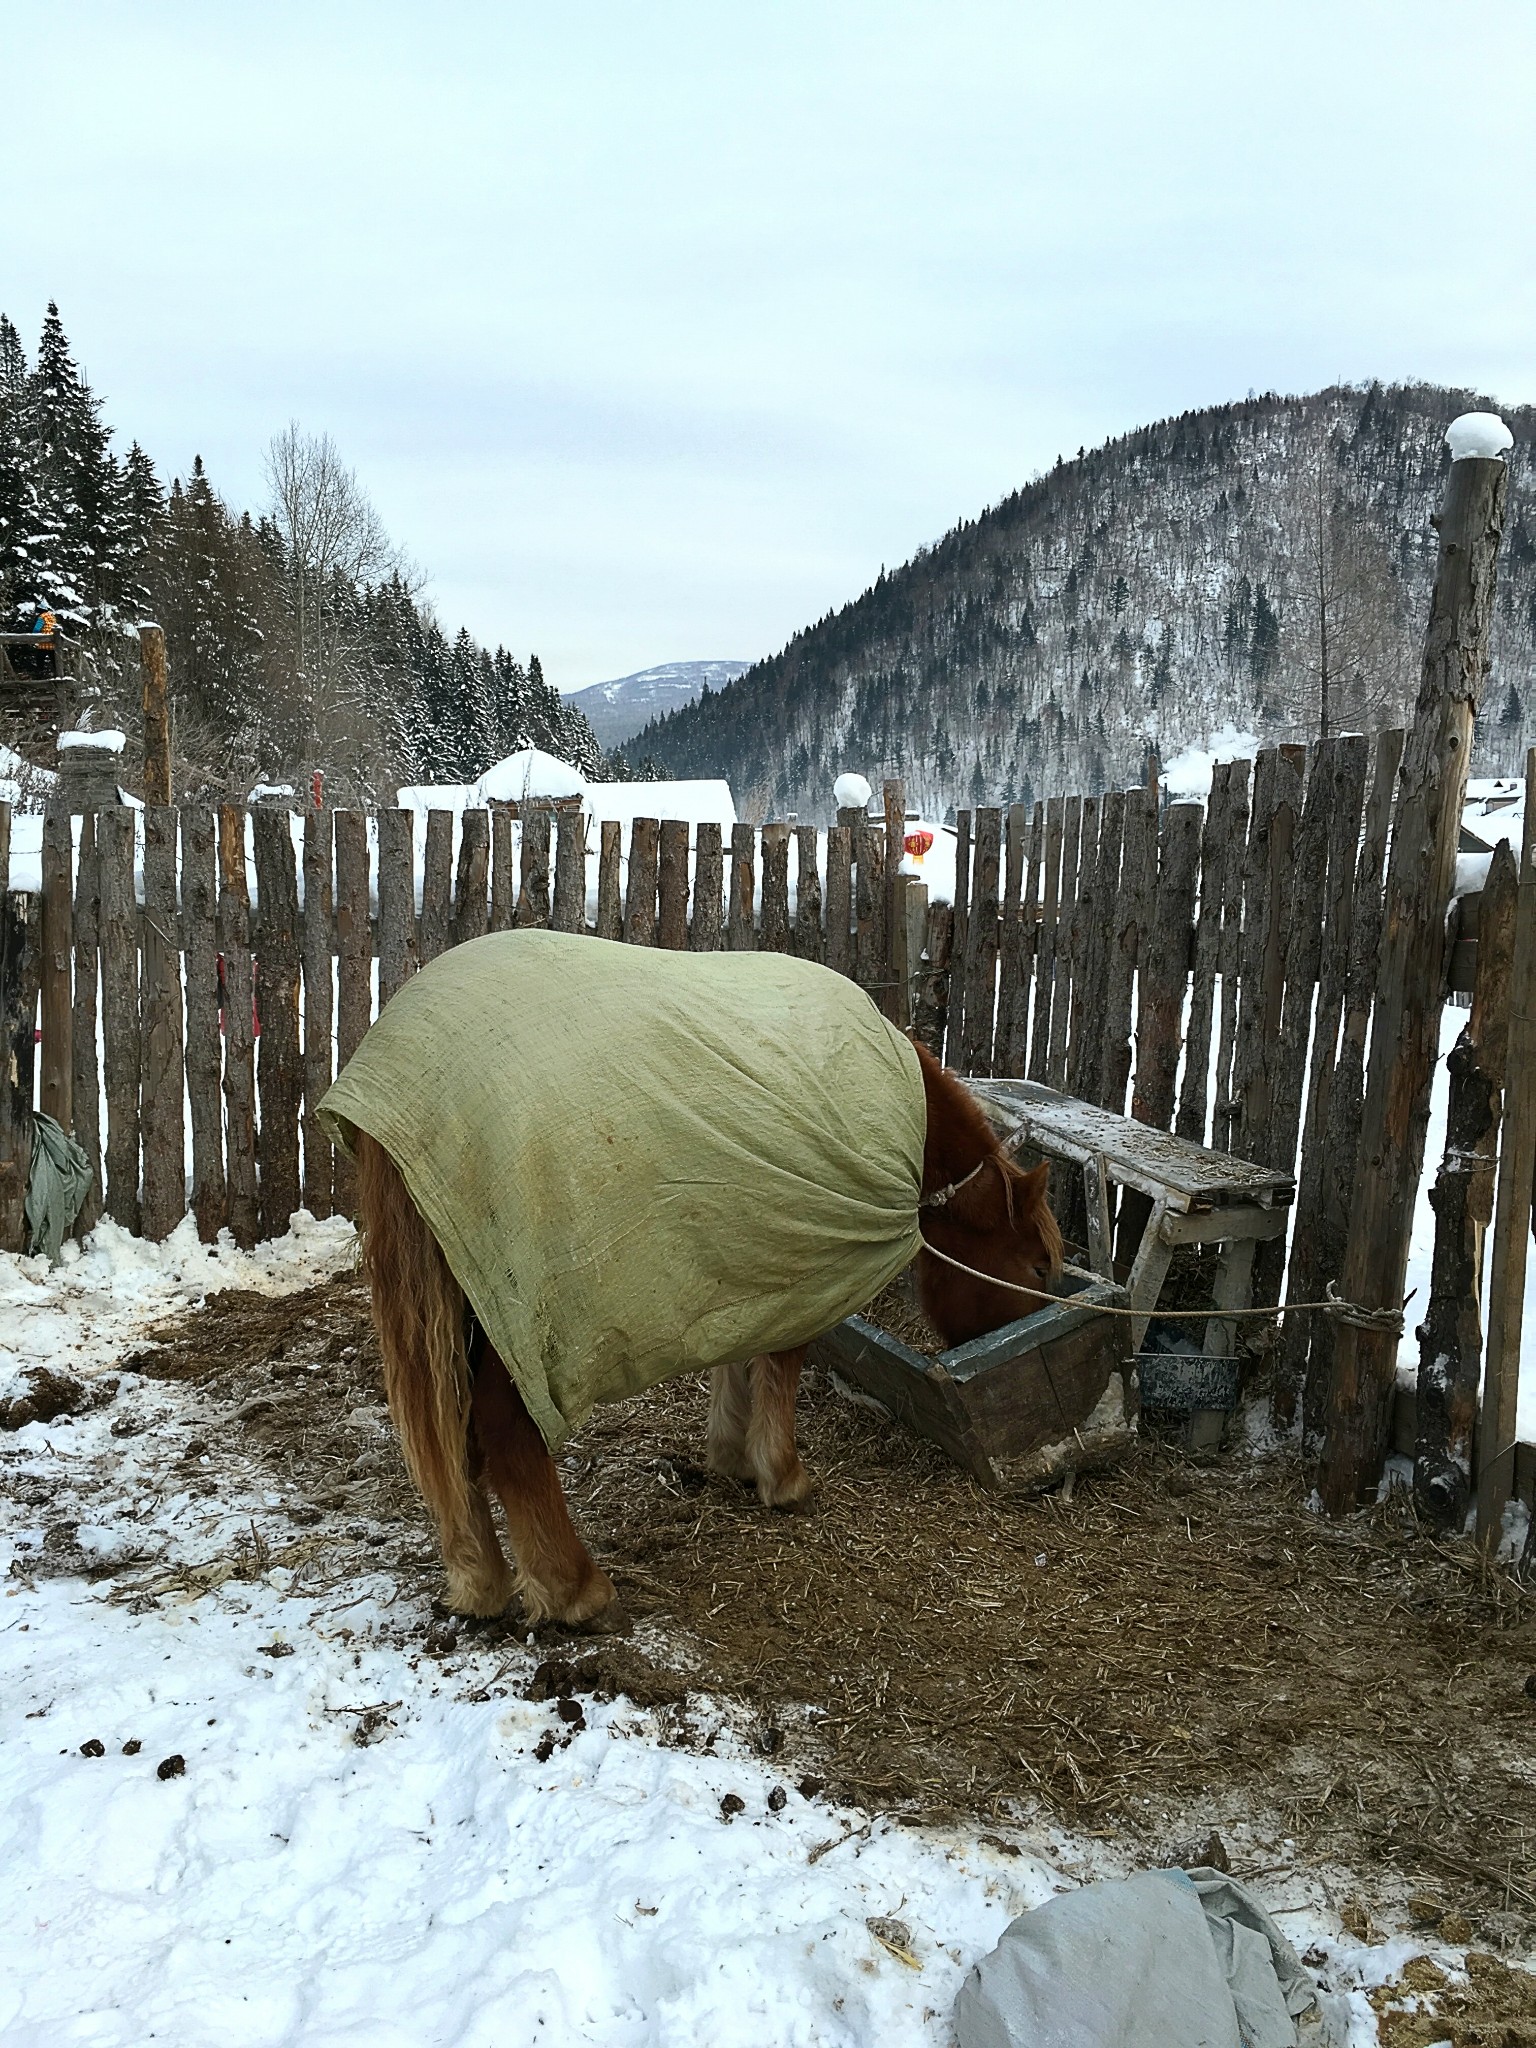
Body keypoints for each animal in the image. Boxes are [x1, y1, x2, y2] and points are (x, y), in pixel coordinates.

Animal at [354, 1024, 1064, 1630]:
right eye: (1038, 1264)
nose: (1017, 1366)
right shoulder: (801, 1260)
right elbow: (781, 1360)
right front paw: (783, 1477)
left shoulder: (739, 1248)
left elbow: (738, 1351)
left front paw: (733, 1457)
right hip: (518, 1323)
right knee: (504, 1431)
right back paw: (575, 1590)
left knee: (453, 1445)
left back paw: (479, 1583)